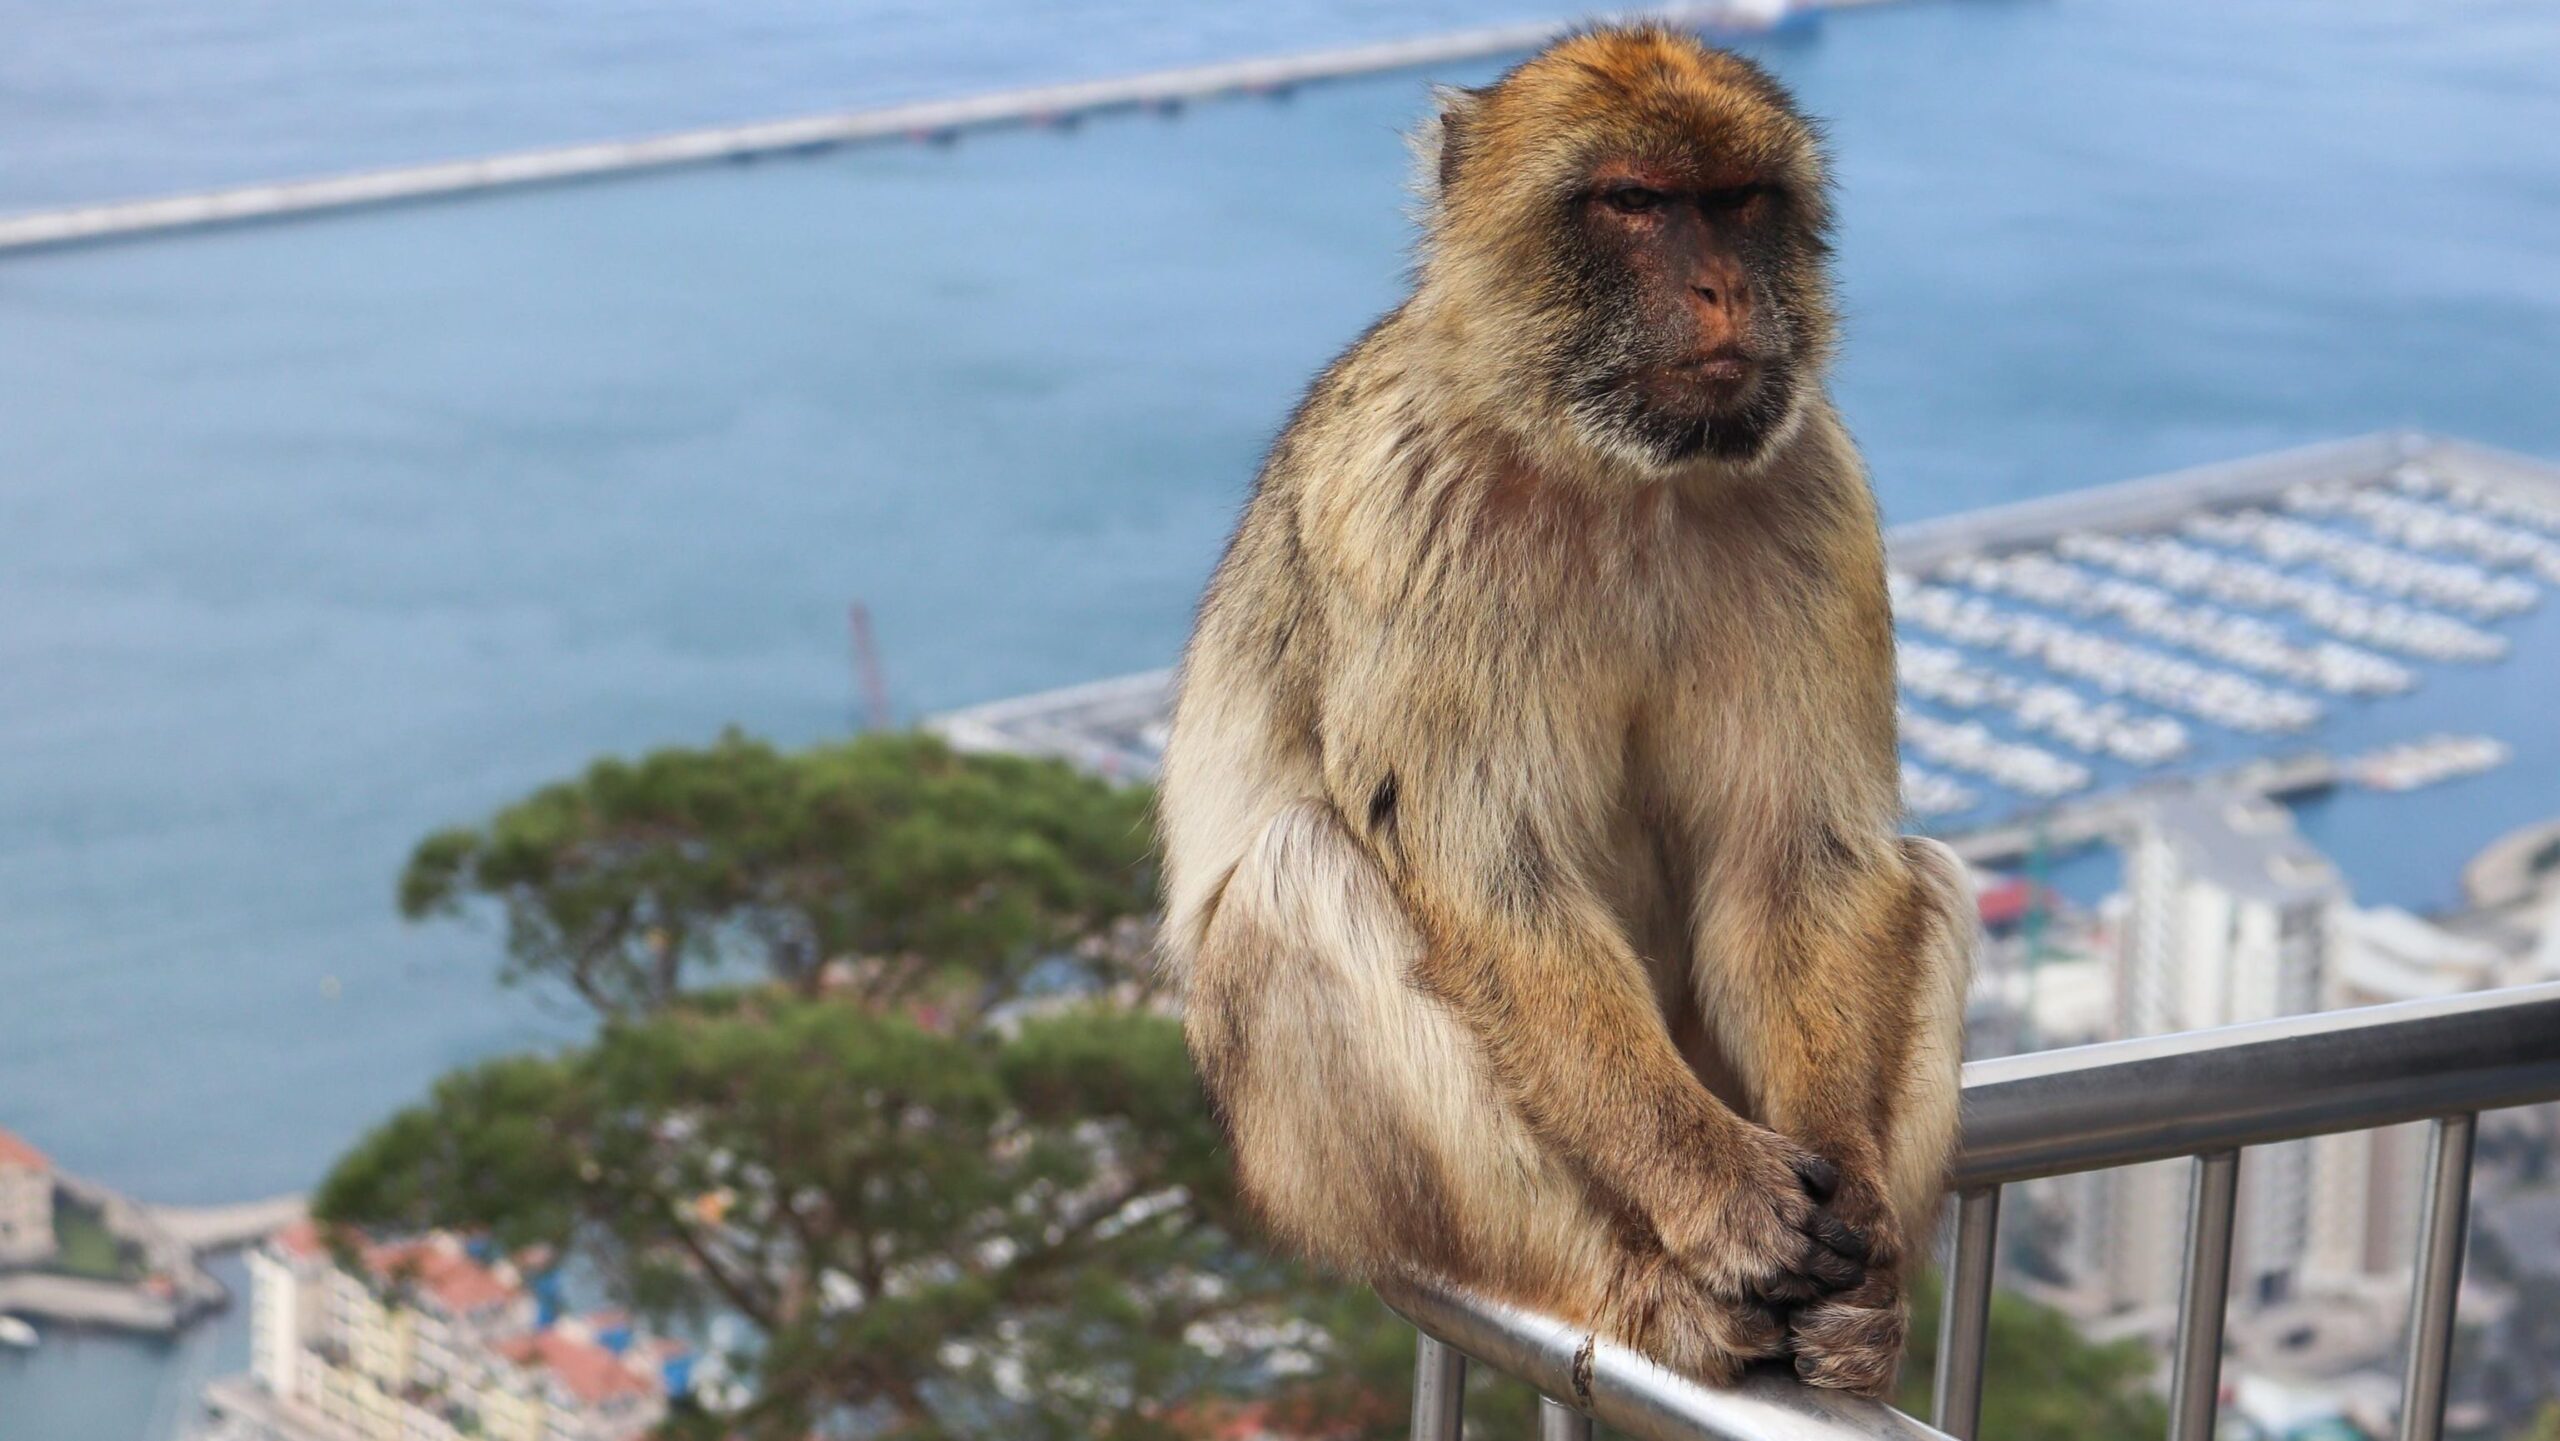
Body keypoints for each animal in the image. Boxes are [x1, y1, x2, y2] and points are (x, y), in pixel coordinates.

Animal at [1162, 25, 1976, 1402]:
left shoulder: (1817, 494)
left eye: (1738, 203)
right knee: (1300, 874)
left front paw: (1855, 1197)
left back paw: (1860, 1312)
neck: (1617, 471)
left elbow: (1799, 857)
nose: (1722, 291)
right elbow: (1493, 875)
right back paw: (1639, 1284)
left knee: (1917, 874)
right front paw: (1722, 1193)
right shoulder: (1407, 502)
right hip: (1310, 1173)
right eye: (1635, 203)